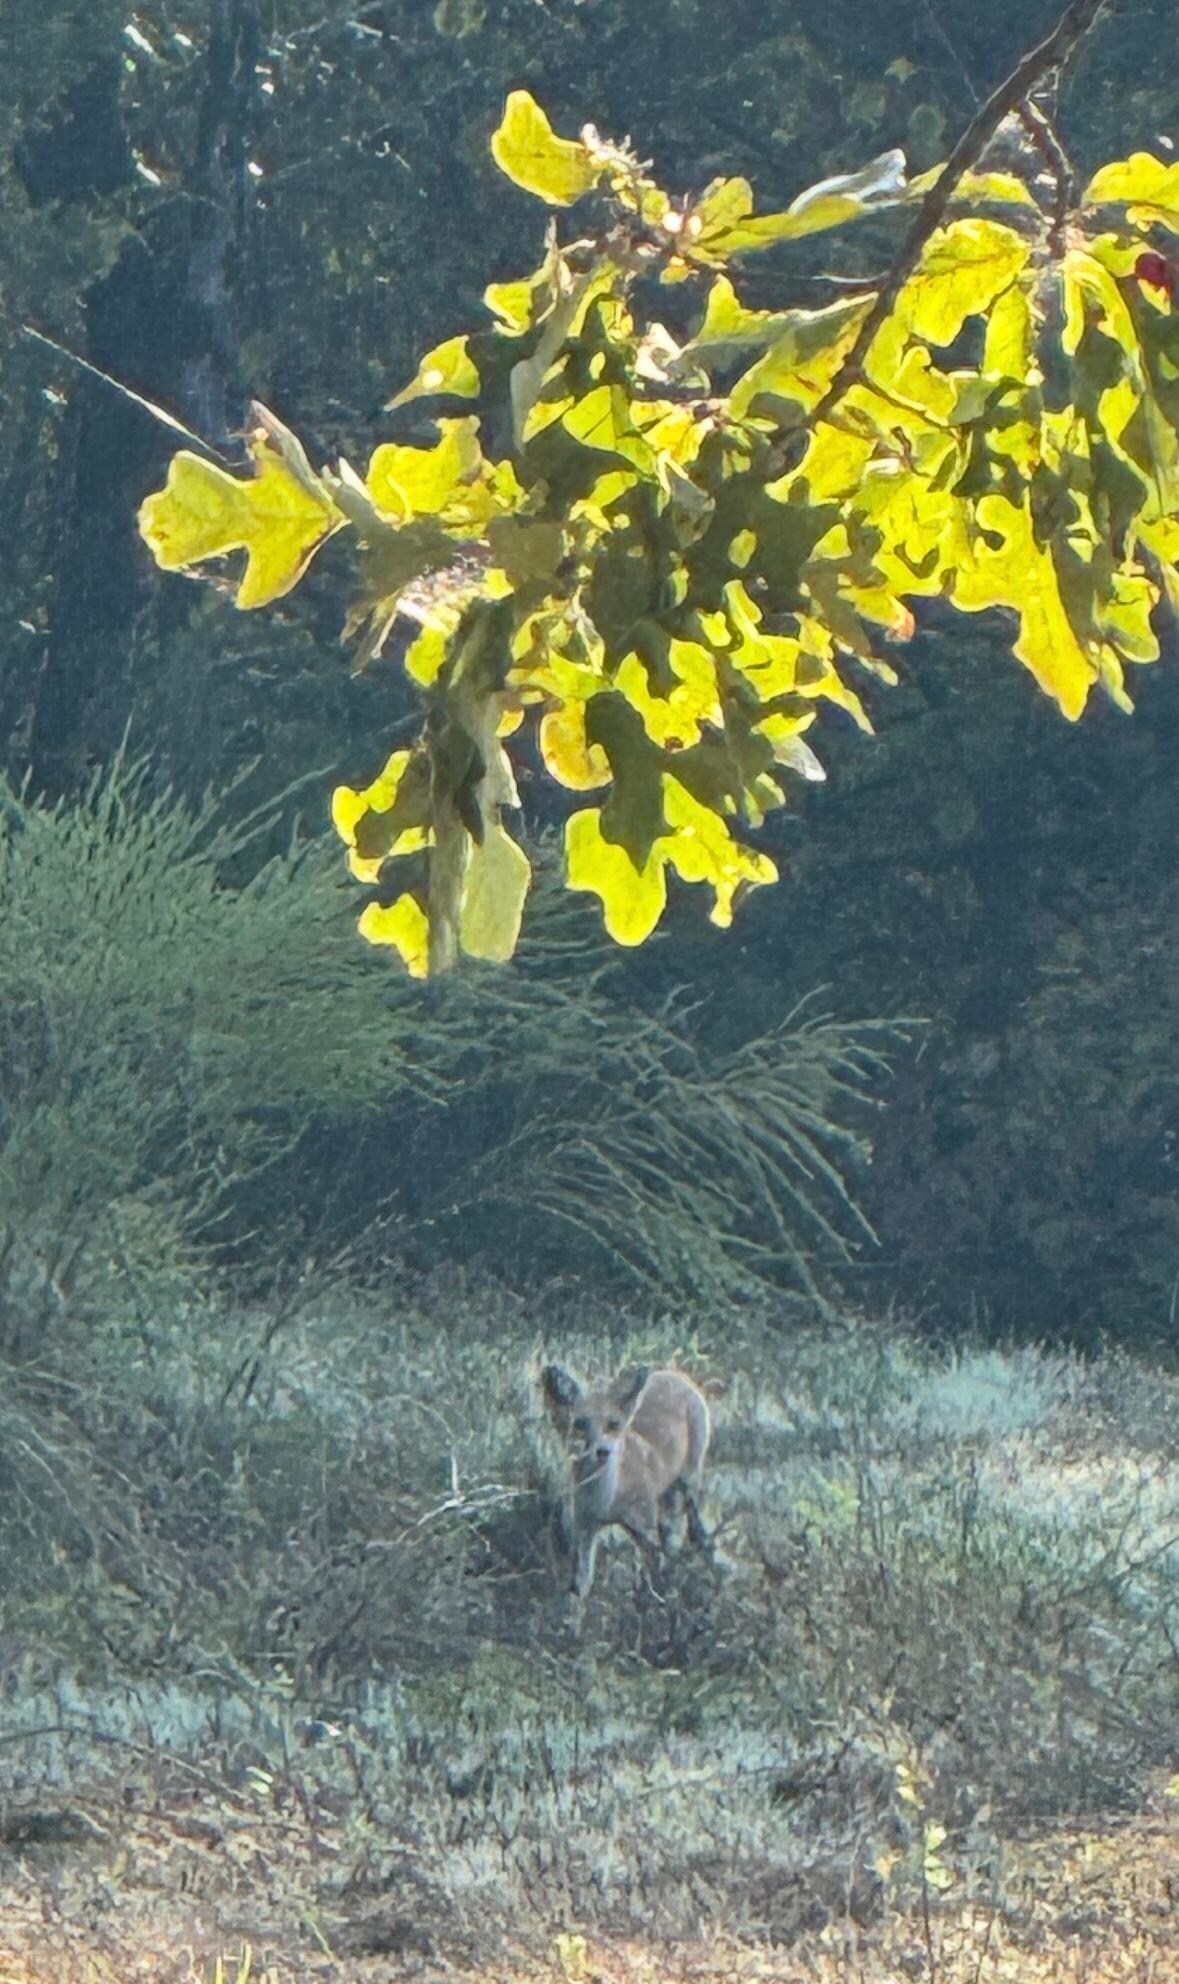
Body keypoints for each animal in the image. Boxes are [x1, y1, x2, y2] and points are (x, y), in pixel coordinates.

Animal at [541, 1362, 714, 1598]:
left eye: (613, 1424)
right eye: (580, 1425)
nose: (602, 1451)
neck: (607, 1503)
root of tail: (672, 1373)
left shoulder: (644, 1526)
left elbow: (654, 1569)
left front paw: (654, 1597)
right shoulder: (585, 1528)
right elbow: (581, 1584)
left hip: (689, 1478)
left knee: (693, 1524)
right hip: (668, 1493)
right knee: (672, 1530)